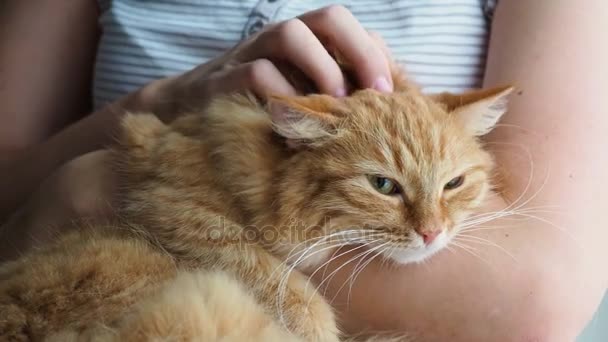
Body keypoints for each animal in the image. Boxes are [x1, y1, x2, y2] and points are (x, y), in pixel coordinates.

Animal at [0, 73, 512, 340]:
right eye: (383, 185)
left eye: (454, 184)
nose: (432, 233)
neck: (263, 174)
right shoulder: (170, 203)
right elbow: (267, 273)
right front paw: (313, 326)